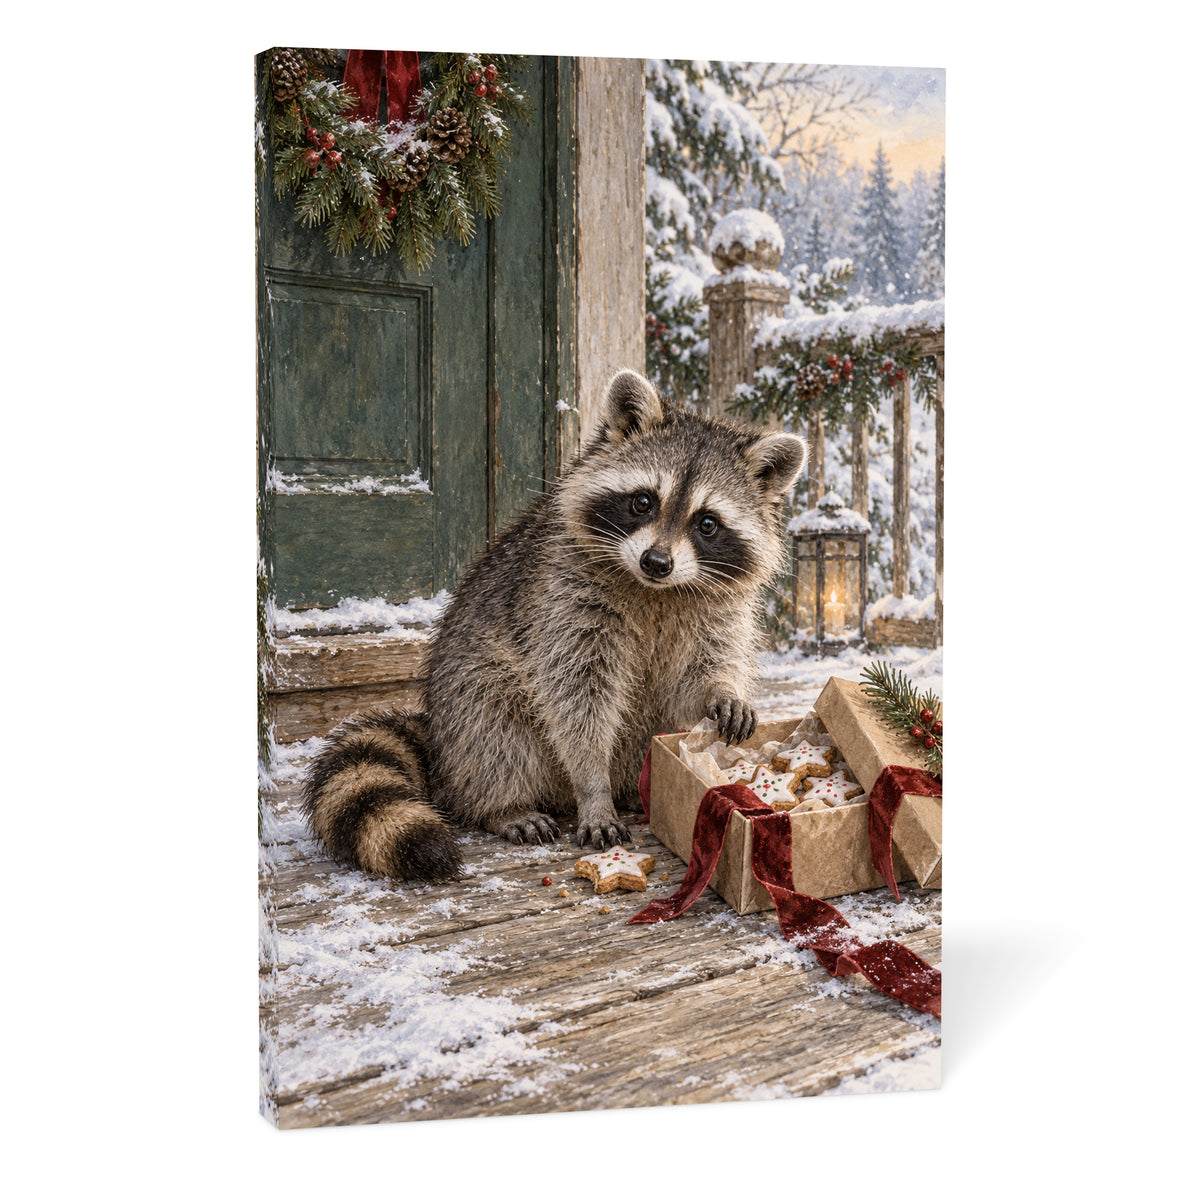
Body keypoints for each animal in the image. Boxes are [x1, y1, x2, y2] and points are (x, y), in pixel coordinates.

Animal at [302, 369, 806, 881]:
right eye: (643, 501)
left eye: (707, 523)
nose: (657, 562)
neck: (655, 591)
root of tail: (438, 744)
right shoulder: (561, 597)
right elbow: (576, 698)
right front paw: (592, 786)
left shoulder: (716, 608)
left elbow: (694, 675)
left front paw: (721, 691)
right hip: (465, 694)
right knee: (493, 724)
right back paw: (505, 804)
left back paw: (635, 788)